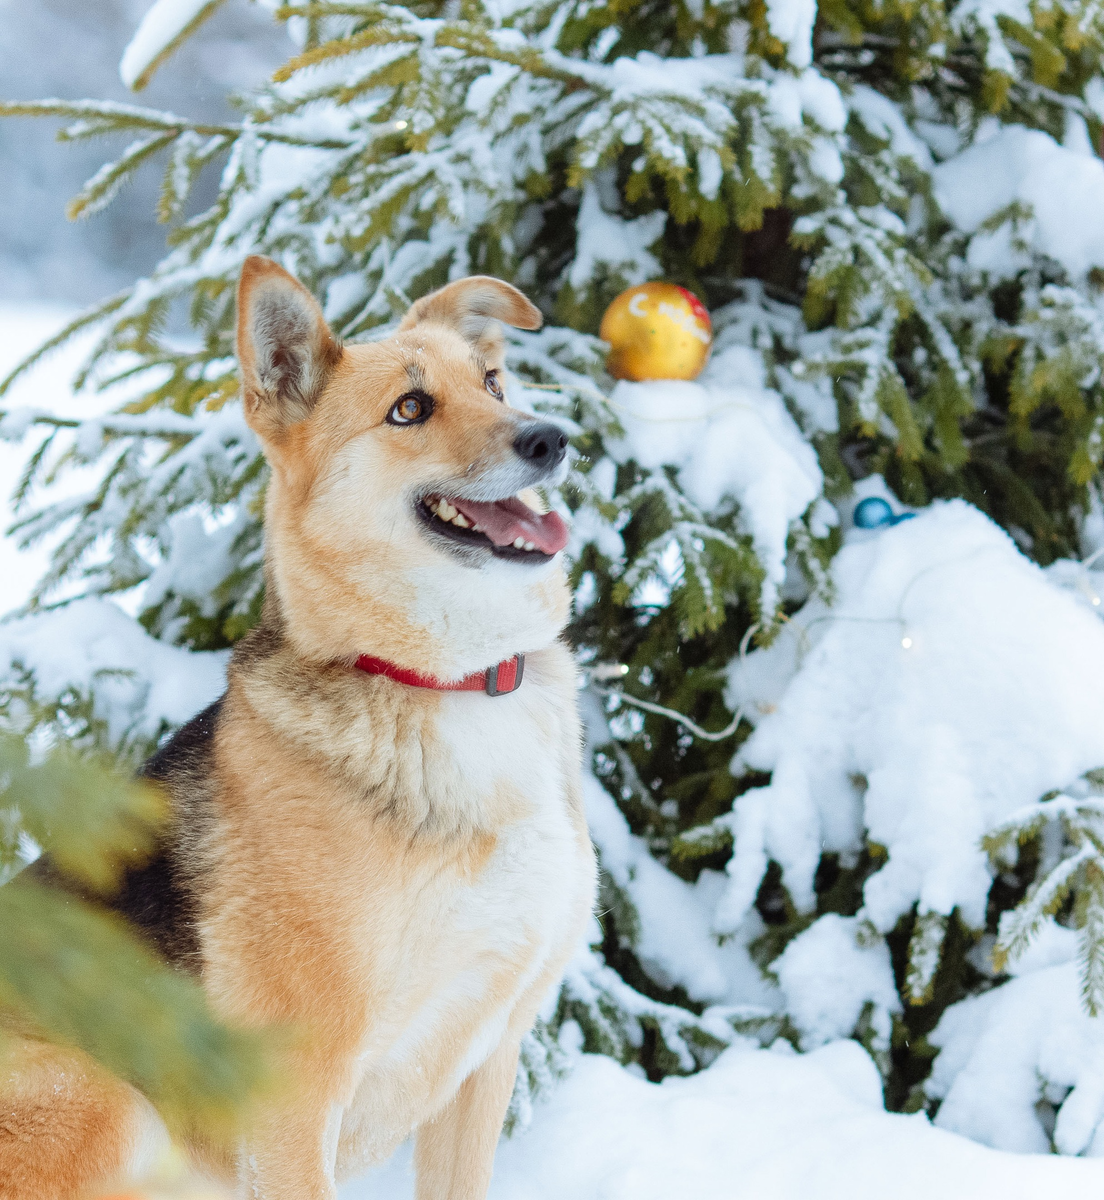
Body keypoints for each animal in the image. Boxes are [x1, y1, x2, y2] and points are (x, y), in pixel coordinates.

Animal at [0, 260, 600, 1200]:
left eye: (495, 383)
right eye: (410, 409)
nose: (550, 439)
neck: (450, 681)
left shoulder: (487, 1054)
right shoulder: (295, 1090)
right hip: (104, 1106)